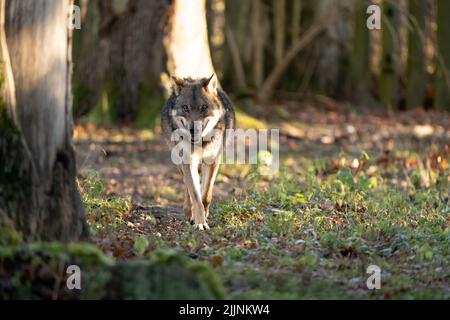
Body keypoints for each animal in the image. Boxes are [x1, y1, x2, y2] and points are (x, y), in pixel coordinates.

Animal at [161, 75, 236, 230]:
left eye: (203, 108)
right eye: (185, 108)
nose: (193, 129)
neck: (200, 144)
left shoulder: (213, 161)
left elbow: (206, 195)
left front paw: (204, 216)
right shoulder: (188, 162)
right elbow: (195, 195)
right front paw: (200, 222)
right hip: (180, 162)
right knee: (186, 184)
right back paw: (189, 212)